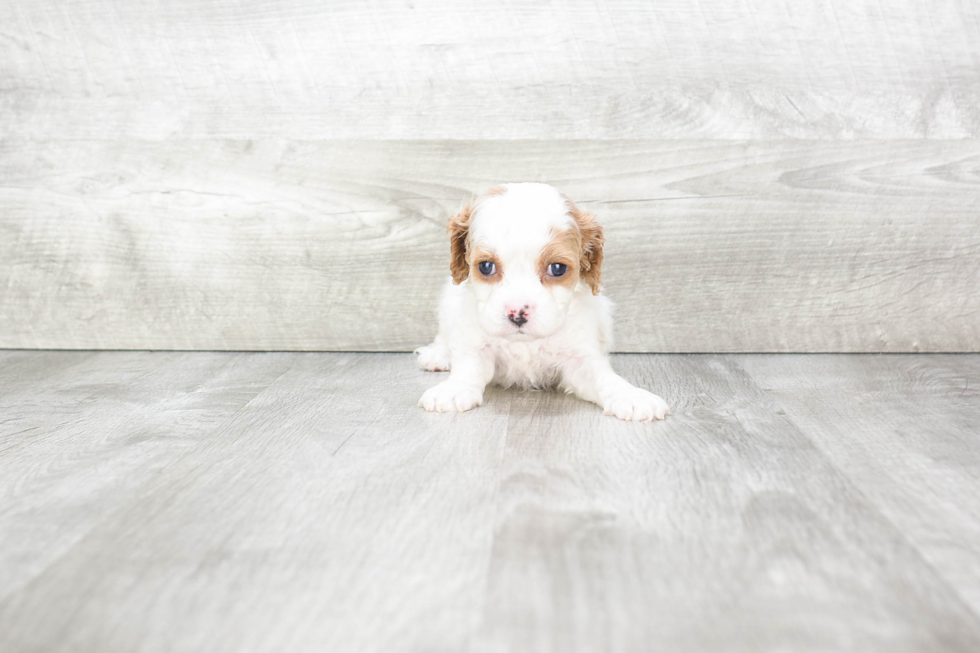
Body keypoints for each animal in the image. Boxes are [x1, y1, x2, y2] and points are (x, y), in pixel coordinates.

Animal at [418, 181, 668, 420]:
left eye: (557, 268)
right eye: (486, 266)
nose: (517, 313)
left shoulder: (580, 358)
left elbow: (603, 377)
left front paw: (631, 396)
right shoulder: (476, 341)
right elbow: (469, 367)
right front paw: (453, 390)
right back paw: (438, 355)